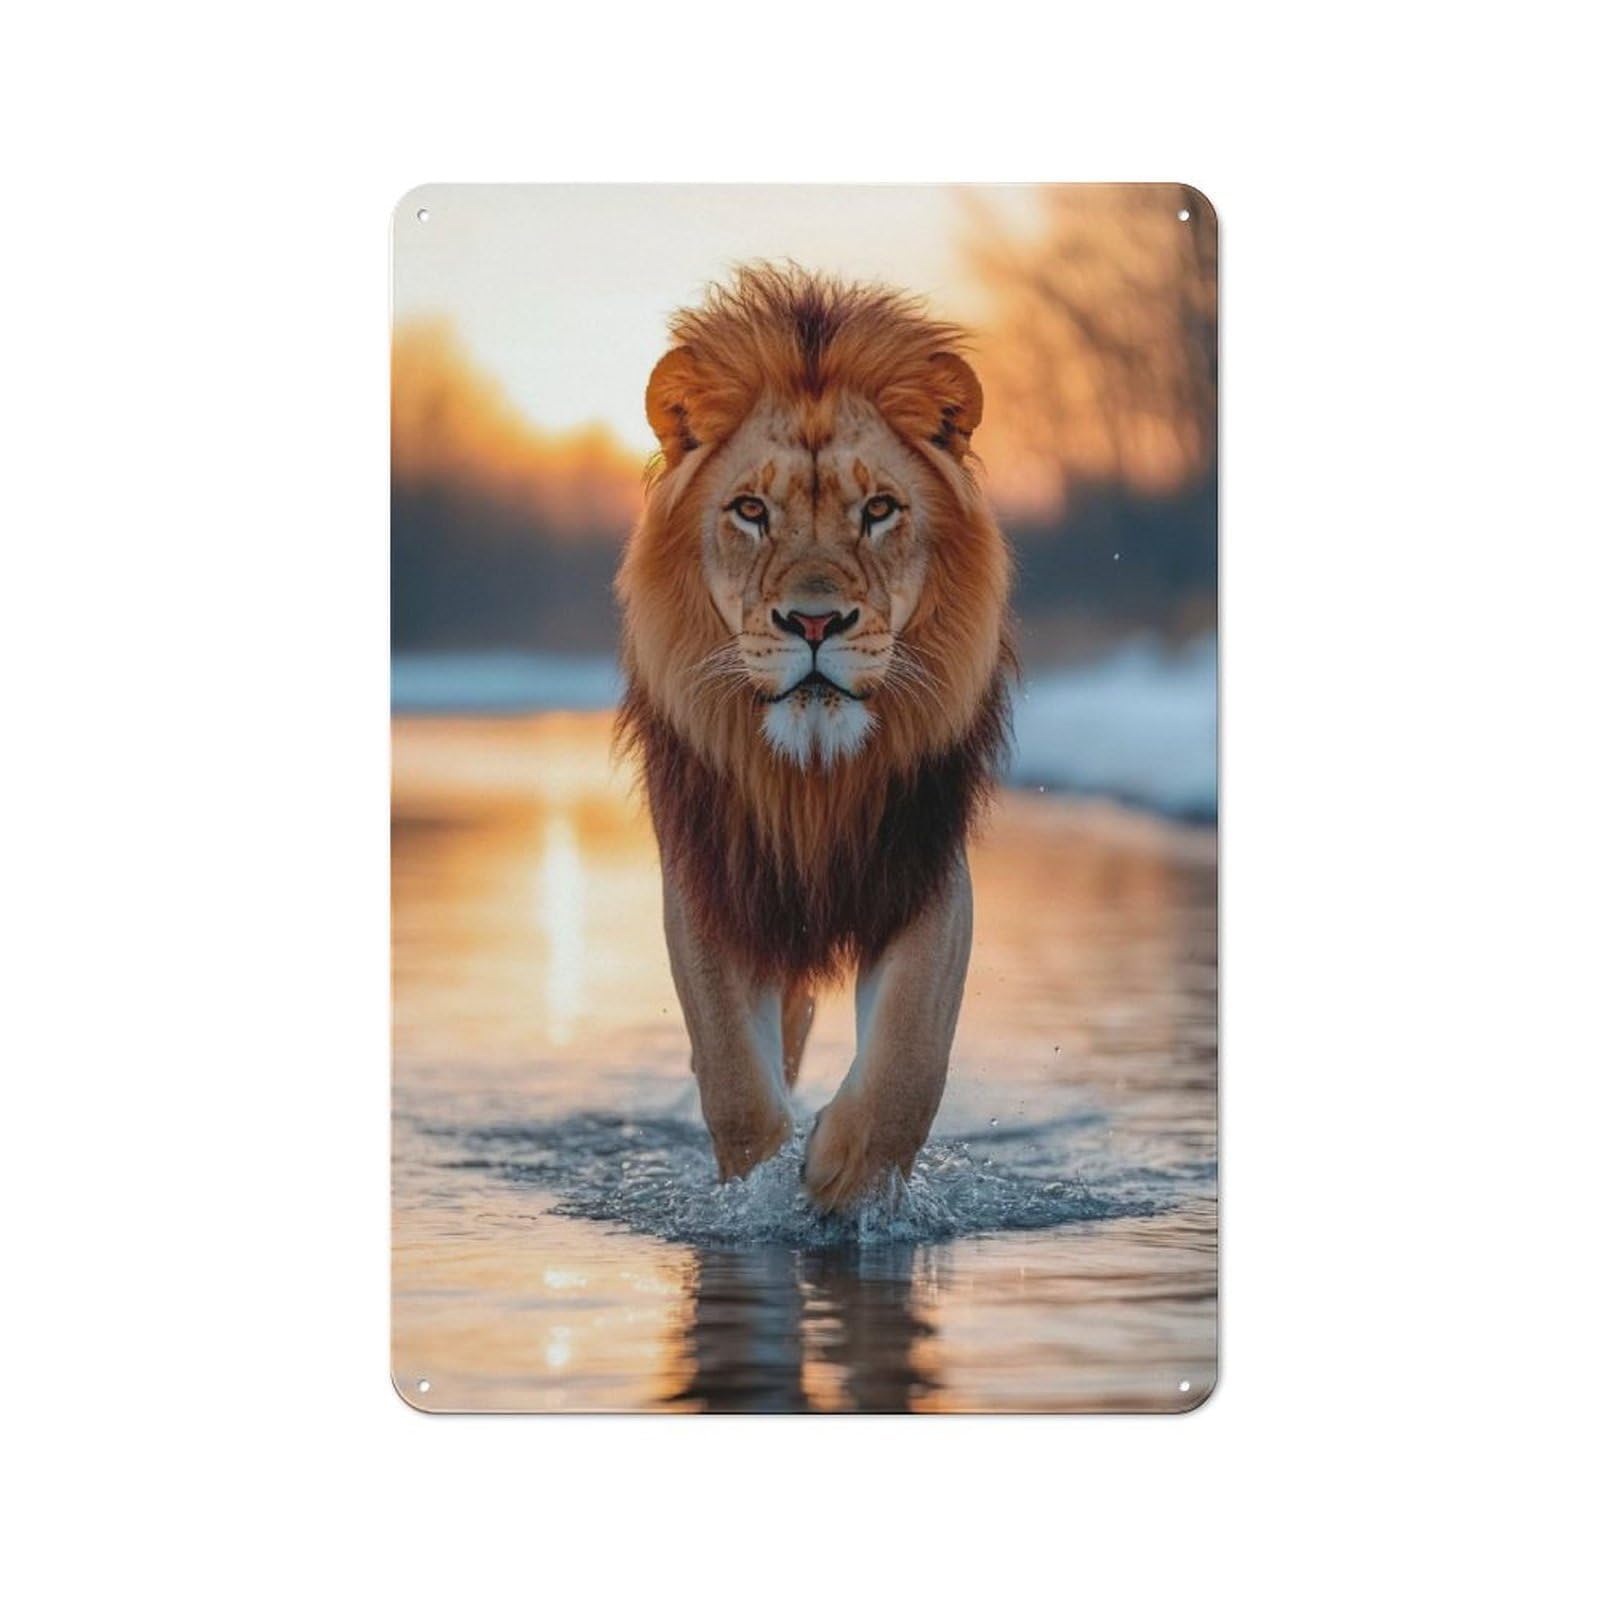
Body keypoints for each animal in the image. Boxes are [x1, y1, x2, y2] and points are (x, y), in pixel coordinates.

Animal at [615, 264, 1014, 1211]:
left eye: (879, 509)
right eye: (751, 509)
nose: (814, 622)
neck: (814, 778)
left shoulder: (921, 866)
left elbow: (909, 1058)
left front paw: (845, 1179)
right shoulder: (713, 880)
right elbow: (734, 1075)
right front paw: (760, 1190)